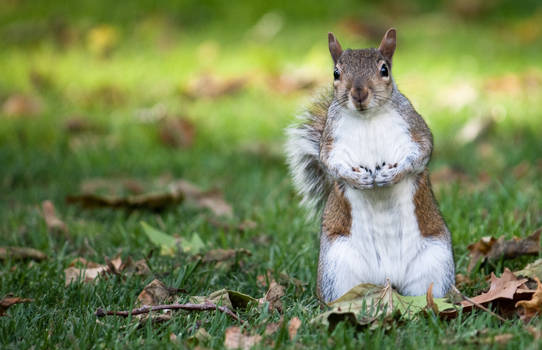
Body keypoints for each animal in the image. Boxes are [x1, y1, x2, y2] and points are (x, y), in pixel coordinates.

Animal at [286, 28, 456, 302]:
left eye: (384, 69)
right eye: (336, 73)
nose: (359, 93)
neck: (367, 118)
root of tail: (388, 278)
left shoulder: (415, 129)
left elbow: (421, 153)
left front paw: (393, 174)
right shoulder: (330, 143)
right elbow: (330, 164)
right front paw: (357, 179)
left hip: (435, 264)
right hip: (337, 266)